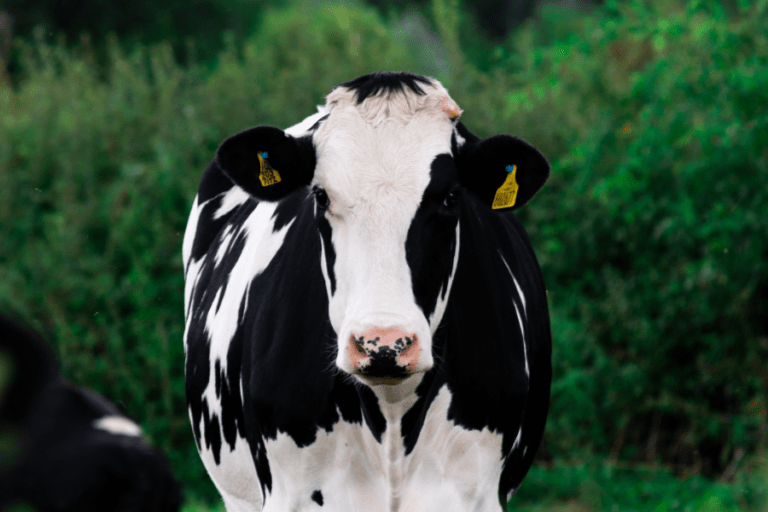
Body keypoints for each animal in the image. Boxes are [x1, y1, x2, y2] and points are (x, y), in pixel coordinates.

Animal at [183, 71, 552, 512]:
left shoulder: (477, 493)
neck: (391, 419)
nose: (383, 343)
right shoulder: (290, 494)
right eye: (321, 196)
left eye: (450, 197)